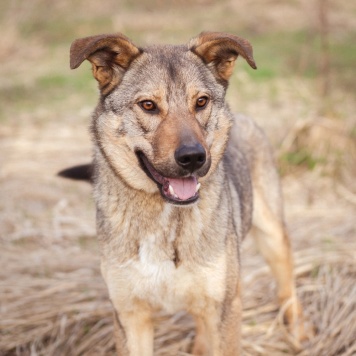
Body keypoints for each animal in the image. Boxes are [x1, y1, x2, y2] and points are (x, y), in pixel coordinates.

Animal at [62, 32, 308, 354]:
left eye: (201, 102)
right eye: (148, 105)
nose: (194, 157)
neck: (164, 218)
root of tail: (243, 116)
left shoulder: (225, 308)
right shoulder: (130, 316)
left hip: (272, 236)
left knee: (287, 287)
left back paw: (299, 333)